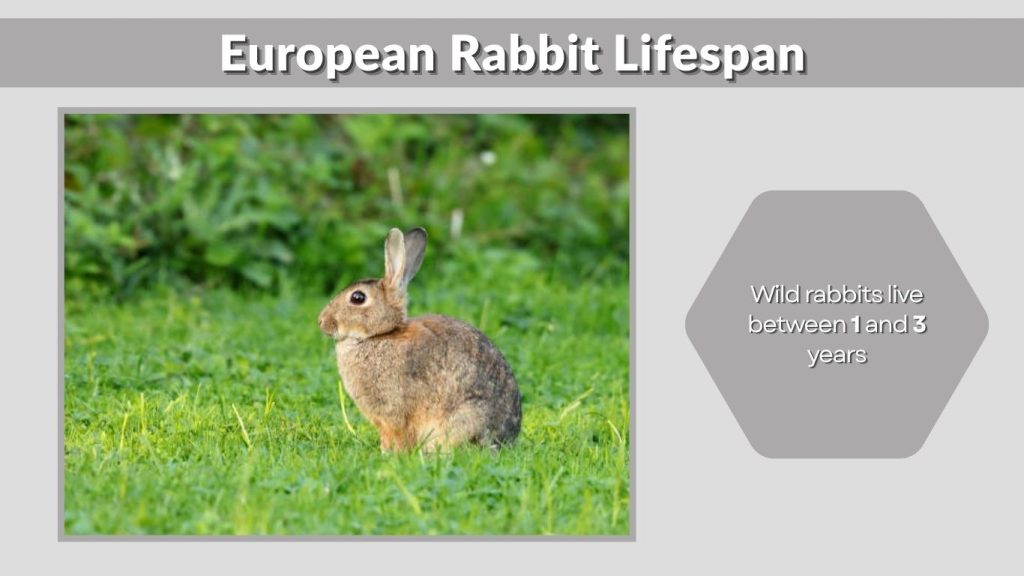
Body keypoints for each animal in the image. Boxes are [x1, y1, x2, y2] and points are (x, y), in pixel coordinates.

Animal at [318, 227, 521, 452]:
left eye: (357, 298)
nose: (322, 322)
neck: (380, 335)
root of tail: (503, 441)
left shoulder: (394, 413)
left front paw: (388, 454)